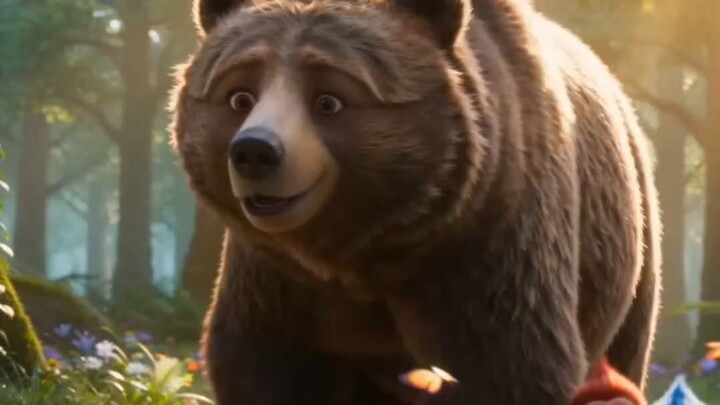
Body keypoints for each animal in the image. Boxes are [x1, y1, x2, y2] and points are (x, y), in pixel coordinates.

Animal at [169, 0, 662, 403]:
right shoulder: (276, 281)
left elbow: (513, 368)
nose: (255, 151)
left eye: (328, 100)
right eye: (239, 96)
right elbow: (264, 367)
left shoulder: (492, 250)